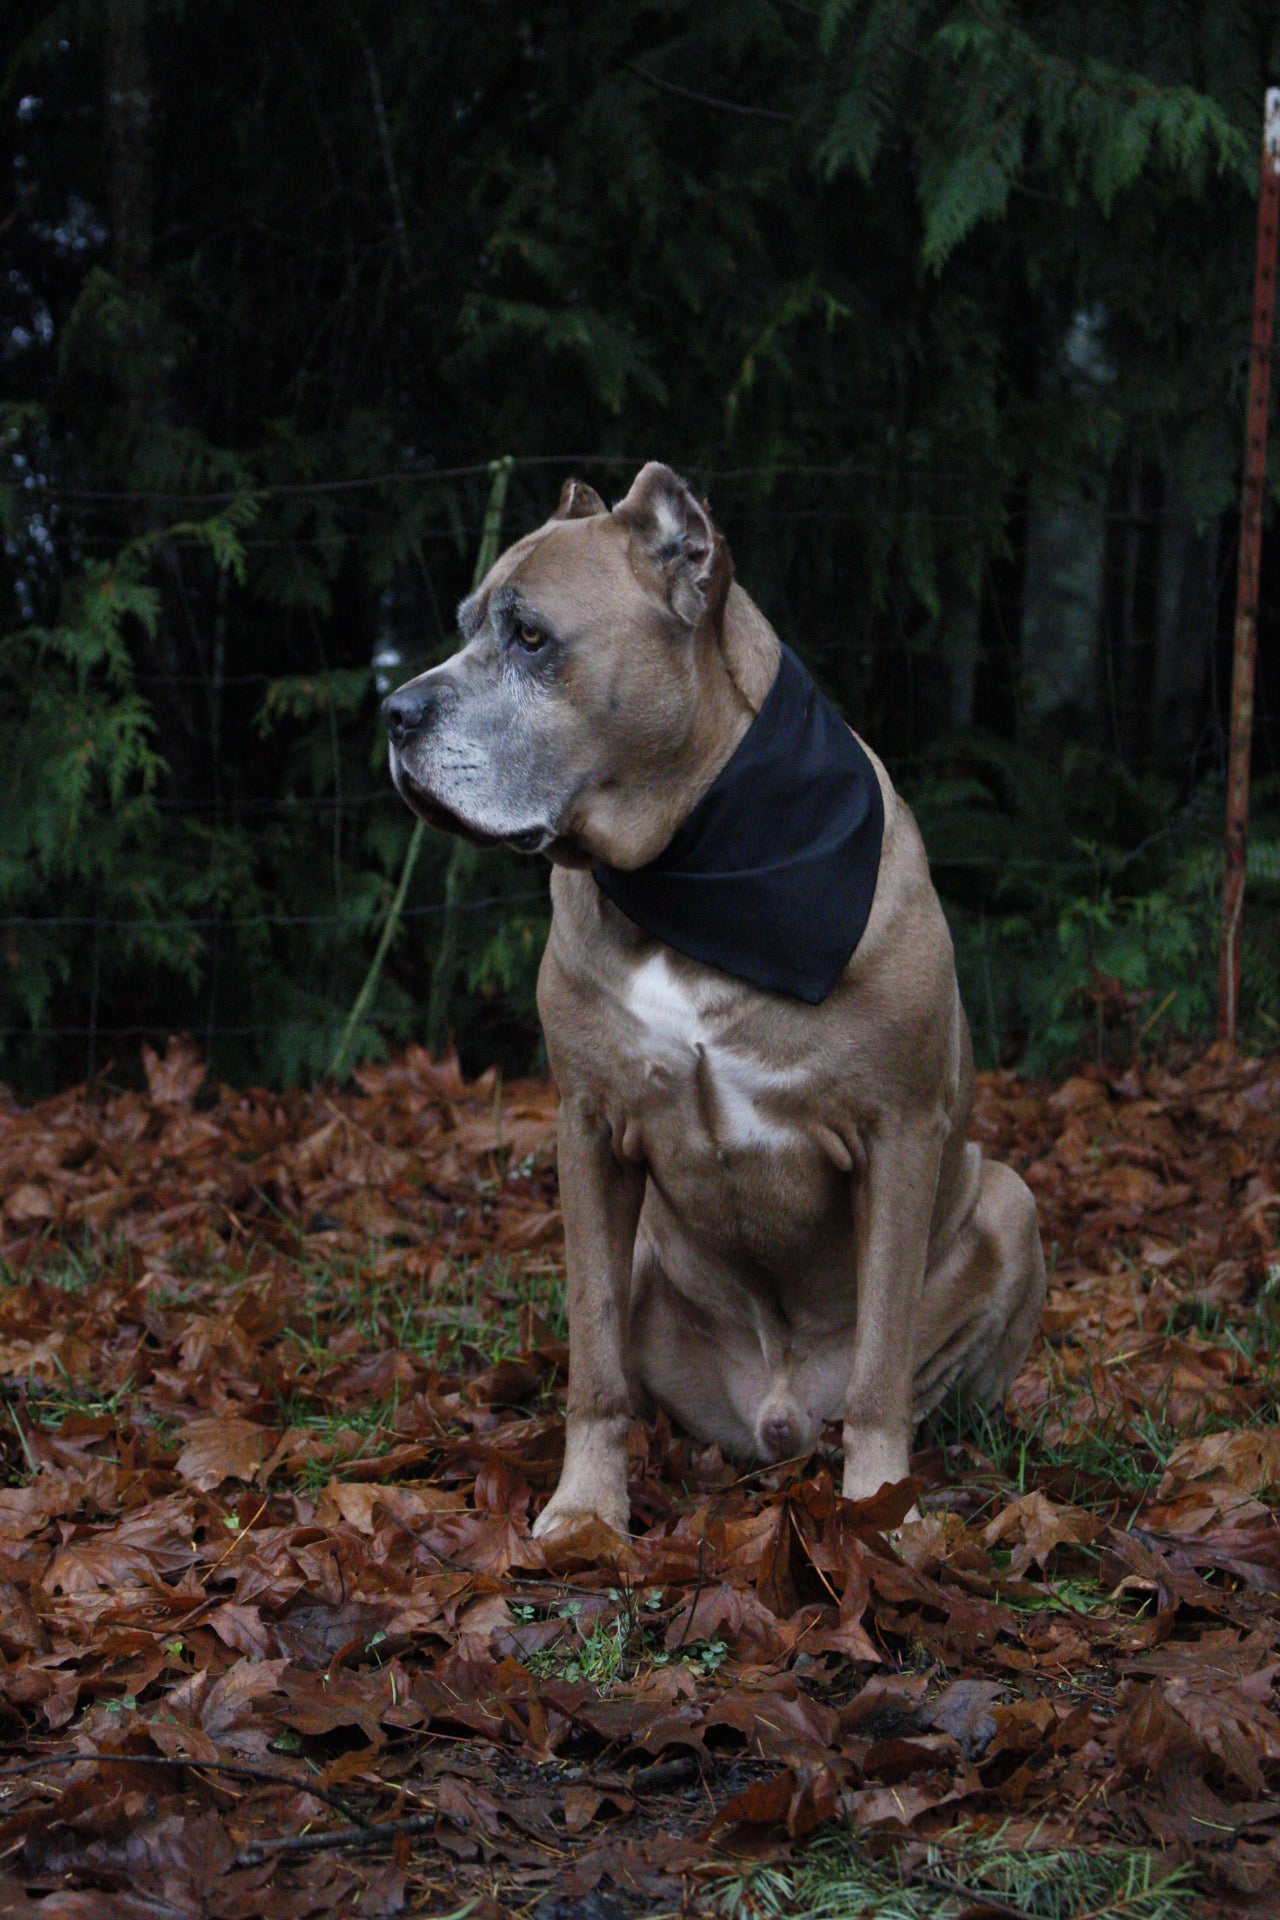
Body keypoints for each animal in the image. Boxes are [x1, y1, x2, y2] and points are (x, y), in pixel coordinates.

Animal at [385, 468, 1043, 1543]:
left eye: (531, 637)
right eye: (467, 625)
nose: (394, 712)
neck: (693, 872)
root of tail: (777, 1417)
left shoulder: (899, 1130)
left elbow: (880, 1372)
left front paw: (882, 1513)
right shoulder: (588, 1131)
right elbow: (595, 1362)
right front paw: (586, 1510)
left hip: (1011, 1200)